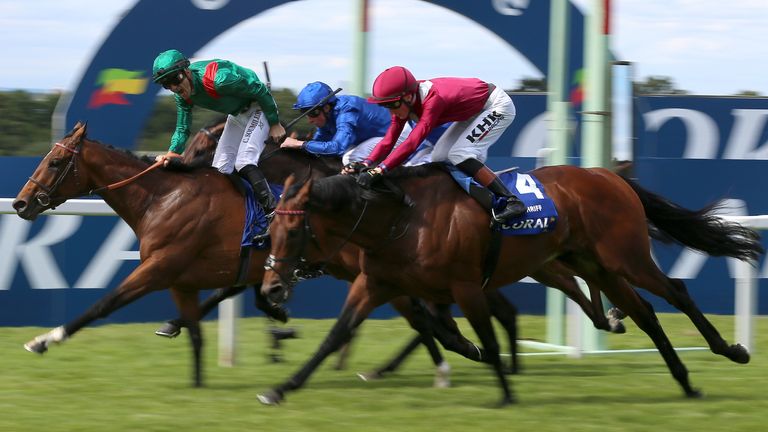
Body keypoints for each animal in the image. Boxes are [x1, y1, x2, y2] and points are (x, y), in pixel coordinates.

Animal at [260, 164, 760, 406]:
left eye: (294, 230)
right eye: (270, 229)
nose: (271, 290)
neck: (402, 218)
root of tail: (609, 175)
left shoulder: (465, 286)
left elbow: (483, 334)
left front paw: (503, 391)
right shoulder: (376, 283)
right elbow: (335, 335)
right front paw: (281, 388)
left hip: (625, 256)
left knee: (675, 290)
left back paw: (731, 351)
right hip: (594, 264)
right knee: (644, 313)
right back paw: (685, 381)